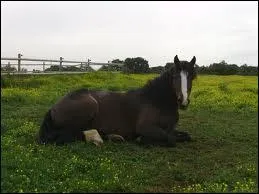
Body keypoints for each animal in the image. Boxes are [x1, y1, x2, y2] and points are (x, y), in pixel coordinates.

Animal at [36, 55, 198, 147]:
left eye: (191, 77)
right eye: (175, 76)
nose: (183, 101)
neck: (156, 101)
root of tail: (53, 108)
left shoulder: (170, 128)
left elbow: (186, 136)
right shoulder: (146, 128)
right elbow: (170, 139)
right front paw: (141, 140)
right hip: (90, 105)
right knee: (70, 134)